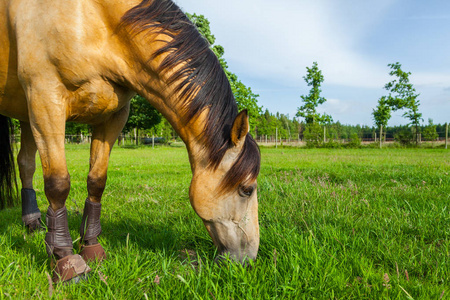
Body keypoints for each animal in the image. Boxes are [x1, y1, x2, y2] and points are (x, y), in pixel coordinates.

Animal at [0, 0, 260, 282]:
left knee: (26, 163)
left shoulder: (113, 115)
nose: (248, 261)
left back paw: (32, 222)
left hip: (26, 117)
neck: (92, 19)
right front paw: (66, 261)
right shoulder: (45, 100)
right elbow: (58, 184)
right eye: (247, 189)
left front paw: (91, 247)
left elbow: (96, 181)